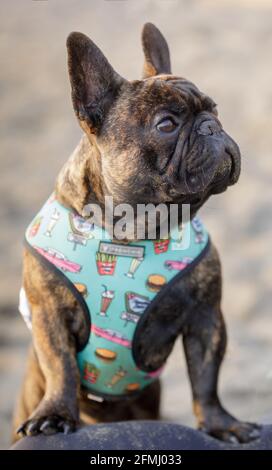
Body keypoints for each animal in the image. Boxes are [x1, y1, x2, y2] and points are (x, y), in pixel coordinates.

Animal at [13, 23, 260, 442]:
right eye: (166, 125)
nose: (212, 127)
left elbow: (206, 378)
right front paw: (55, 414)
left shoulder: (206, 319)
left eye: (215, 110)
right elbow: (61, 366)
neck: (134, 232)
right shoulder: (49, 314)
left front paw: (221, 423)